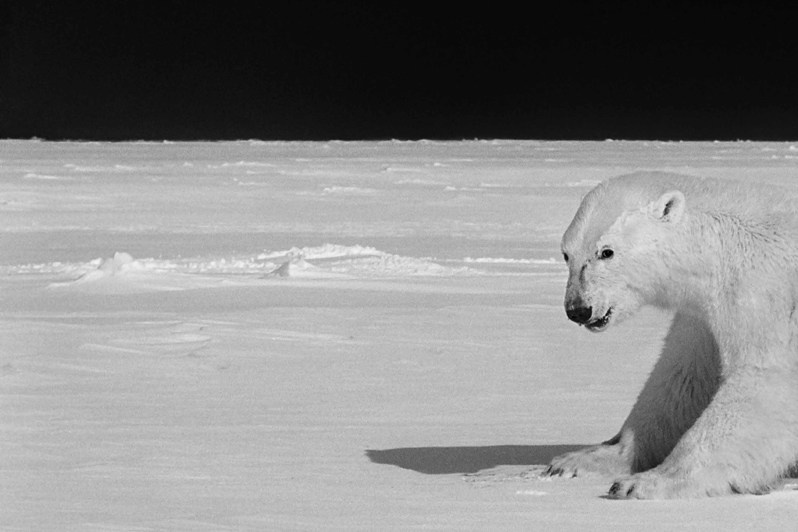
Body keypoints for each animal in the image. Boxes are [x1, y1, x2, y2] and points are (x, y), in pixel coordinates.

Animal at [545, 171, 798, 499]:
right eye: (566, 254)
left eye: (606, 251)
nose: (578, 309)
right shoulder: (702, 318)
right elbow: (681, 379)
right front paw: (580, 461)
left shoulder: (766, 294)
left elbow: (768, 381)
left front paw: (646, 482)